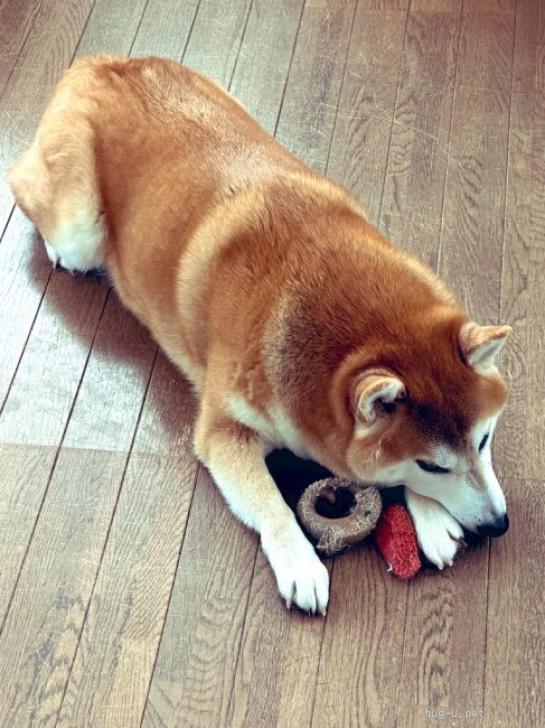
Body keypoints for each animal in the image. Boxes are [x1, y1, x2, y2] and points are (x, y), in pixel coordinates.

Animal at [8, 56, 511, 615]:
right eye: (432, 464)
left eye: (485, 439)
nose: (499, 525)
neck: (354, 320)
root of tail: (98, 63)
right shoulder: (223, 432)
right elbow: (273, 506)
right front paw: (300, 564)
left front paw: (432, 518)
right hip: (79, 226)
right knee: (23, 183)